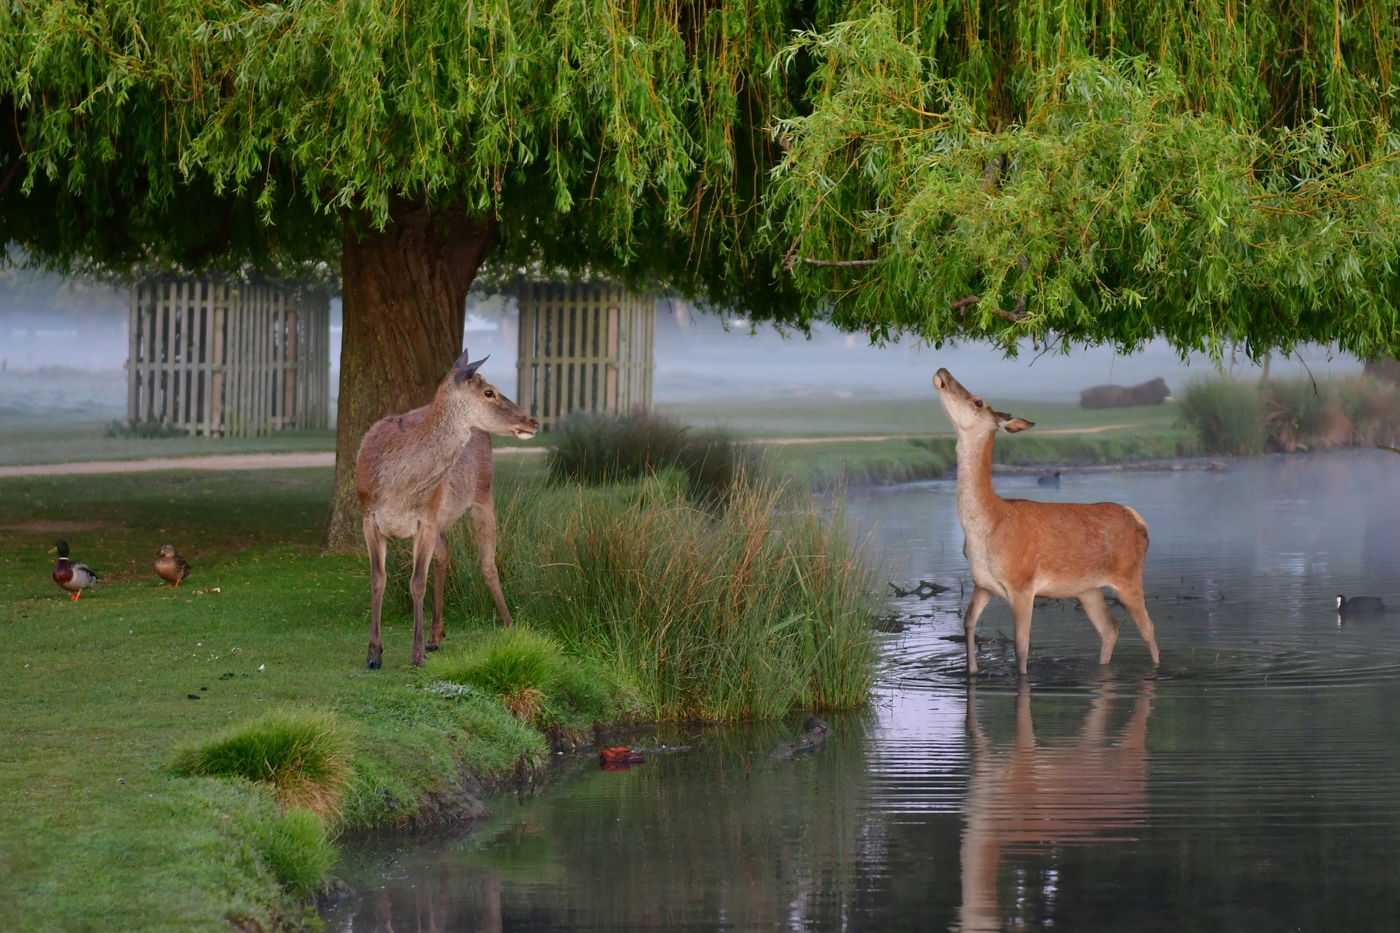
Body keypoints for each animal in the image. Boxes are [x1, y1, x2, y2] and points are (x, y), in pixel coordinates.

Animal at [355, 344, 540, 664]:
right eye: (489, 392)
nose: (533, 421)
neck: (396, 487)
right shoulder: (369, 516)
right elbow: (378, 579)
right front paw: (374, 655)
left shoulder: (426, 518)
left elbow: (417, 581)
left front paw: (416, 655)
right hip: (444, 515)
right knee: (445, 554)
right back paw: (435, 636)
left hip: (483, 493)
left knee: (488, 564)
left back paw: (509, 626)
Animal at [929, 367, 1159, 672]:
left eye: (978, 401)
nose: (943, 371)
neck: (986, 527)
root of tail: (1138, 518)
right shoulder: (982, 584)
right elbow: (968, 623)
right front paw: (972, 671)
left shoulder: (1022, 583)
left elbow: (1021, 646)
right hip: (1088, 589)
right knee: (1110, 627)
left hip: (1129, 575)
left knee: (1148, 627)